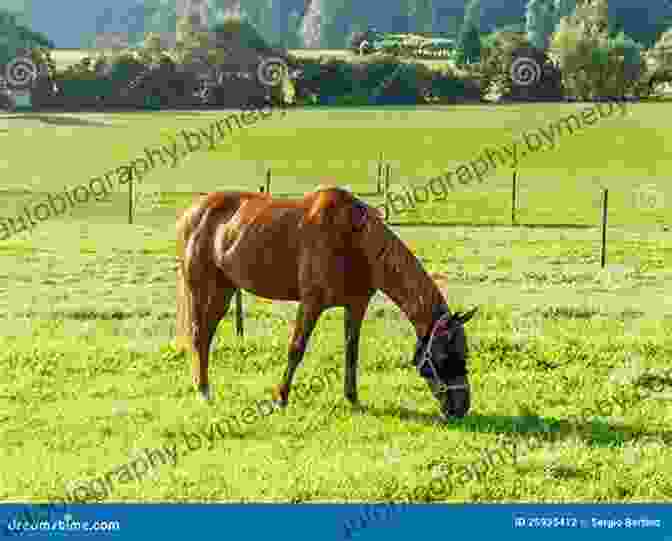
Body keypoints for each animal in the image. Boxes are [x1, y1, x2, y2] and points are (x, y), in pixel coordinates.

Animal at [175, 186, 478, 418]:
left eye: (464, 353)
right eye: (443, 356)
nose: (461, 408)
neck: (355, 240)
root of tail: (192, 213)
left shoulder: (356, 306)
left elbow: (352, 352)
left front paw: (353, 398)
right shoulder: (311, 302)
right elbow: (296, 349)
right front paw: (281, 398)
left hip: (224, 290)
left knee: (205, 336)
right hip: (202, 288)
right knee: (199, 335)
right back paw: (204, 392)